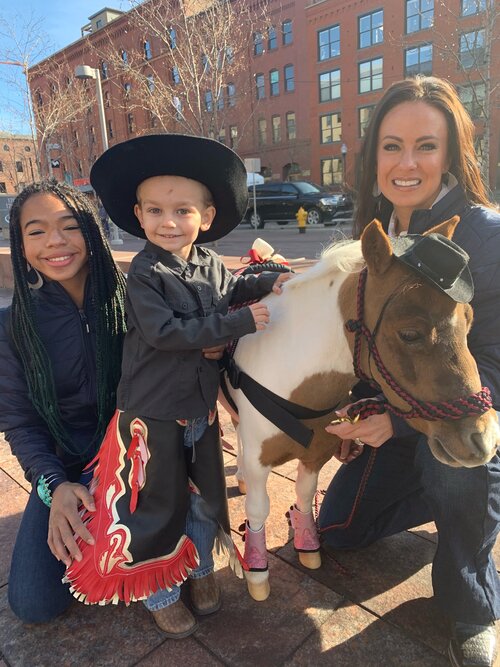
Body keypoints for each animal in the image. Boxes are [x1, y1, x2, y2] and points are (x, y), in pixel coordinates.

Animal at [221, 217, 499, 602]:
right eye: (410, 333)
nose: (482, 438)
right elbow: (259, 508)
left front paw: (308, 545)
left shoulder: (317, 453)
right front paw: (256, 571)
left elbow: (305, 495)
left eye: (469, 318)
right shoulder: (262, 458)